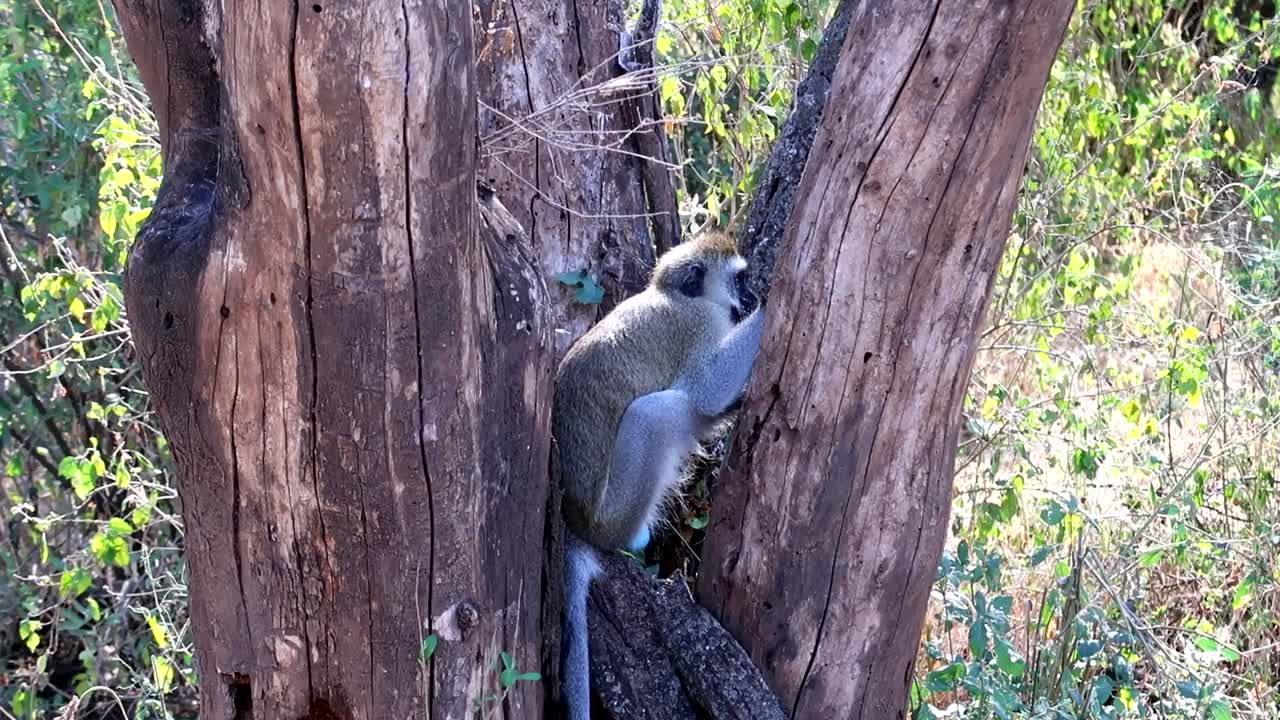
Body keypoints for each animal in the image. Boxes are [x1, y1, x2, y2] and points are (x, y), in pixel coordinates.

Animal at [551, 231, 766, 720]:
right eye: (741, 280)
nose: (751, 297)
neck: (674, 295)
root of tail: (574, 521)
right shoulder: (700, 326)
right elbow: (704, 389)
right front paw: (774, 303)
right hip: (613, 513)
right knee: (655, 412)